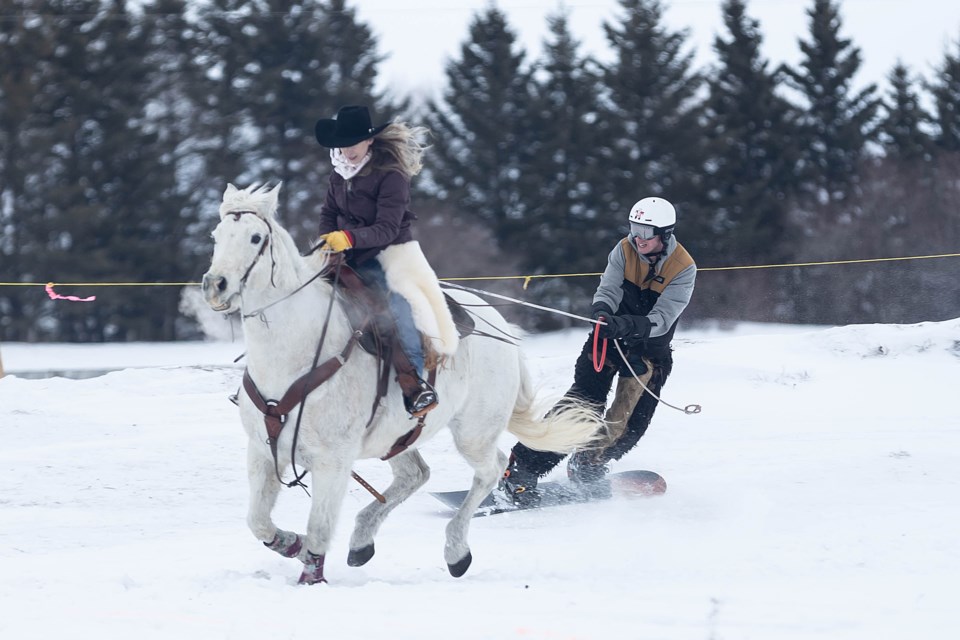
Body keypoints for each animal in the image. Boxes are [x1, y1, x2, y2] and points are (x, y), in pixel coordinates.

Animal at [202, 184, 604, 584]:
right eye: (216, 236)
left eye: (255, 238)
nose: (215, 286)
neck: (294, 352)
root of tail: (500, 325)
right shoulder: (261, 450)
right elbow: (259, 522)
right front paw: (292, 545)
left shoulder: (333, 460)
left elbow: (318, 529)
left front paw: (310, 575)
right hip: (395, 437)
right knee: (416, 474)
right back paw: (362, 540)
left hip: (474, 433)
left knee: (490, 471)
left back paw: (456, 551)